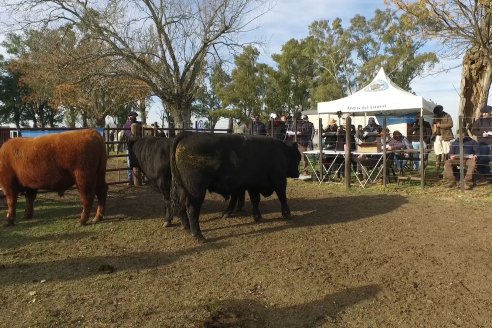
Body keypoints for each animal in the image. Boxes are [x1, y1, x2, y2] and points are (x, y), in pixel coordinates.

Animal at [171, 132, 302, 240]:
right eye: (298, 156)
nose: (297, 173)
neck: (281, 152)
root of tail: (188, 135)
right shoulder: (279, 180)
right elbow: (282, 196)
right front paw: (286, 213)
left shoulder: (252, 185)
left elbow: (255, 200)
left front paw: (257, 216)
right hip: (196, 190)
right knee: (192, 208)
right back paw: (198, 235)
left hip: (182, 189)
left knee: (181, 205)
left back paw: (187, 228)